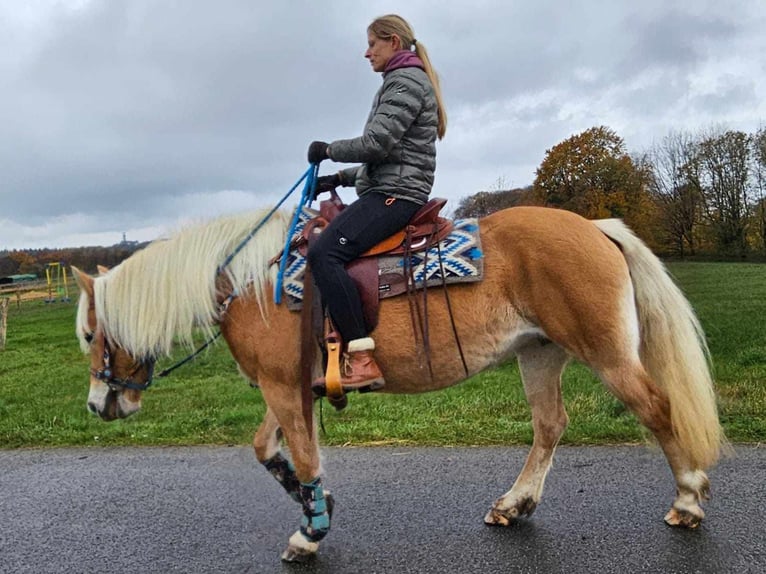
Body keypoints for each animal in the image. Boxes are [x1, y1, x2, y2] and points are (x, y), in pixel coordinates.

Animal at [70, 206, 728, 564]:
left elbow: (303, 457)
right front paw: (313, 503)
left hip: (606, 353)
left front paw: (310, 533)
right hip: (538, 354)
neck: (252, 283)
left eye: (89, 334)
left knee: (658, 408)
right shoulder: (291, 389)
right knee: (549, 427)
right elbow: (269, 449)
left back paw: (687, 499)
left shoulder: (283, 388)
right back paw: (514, 504)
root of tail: (595, 227)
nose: (100, 404)